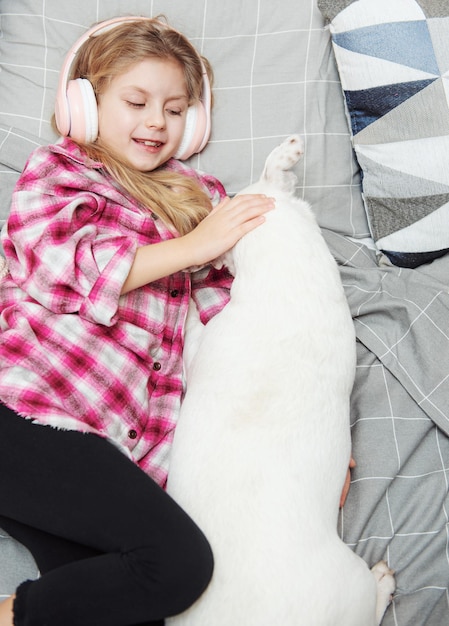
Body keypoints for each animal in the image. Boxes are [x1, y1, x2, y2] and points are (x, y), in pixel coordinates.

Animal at [166, 136, 394, 624]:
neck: (287, 271)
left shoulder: (201, 348)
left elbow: (192, 326)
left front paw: (190, 294)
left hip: (350, 584)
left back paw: (384, 583)